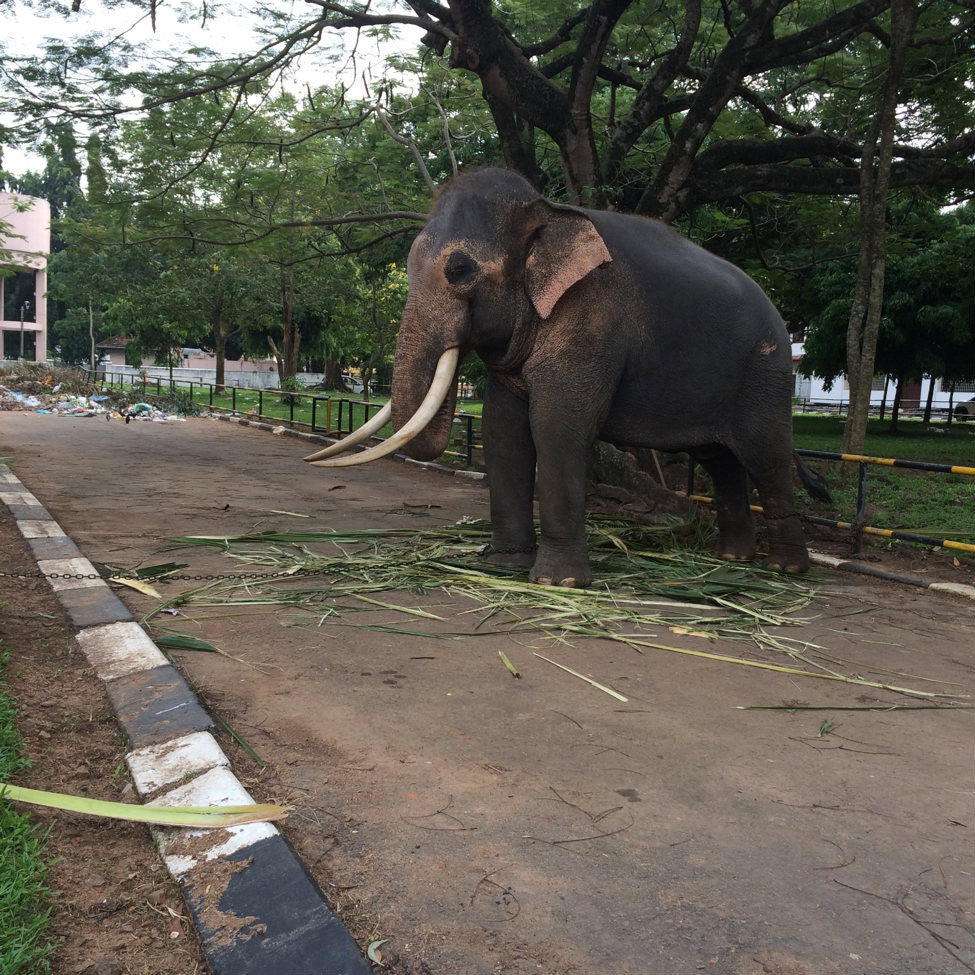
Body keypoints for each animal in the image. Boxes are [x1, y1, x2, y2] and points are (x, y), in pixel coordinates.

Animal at [306, 168, 816, 588]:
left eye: (460, 269)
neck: (546, 209)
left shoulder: (591, 317)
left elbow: (556, 425)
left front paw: (558, 583)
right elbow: (502, 430)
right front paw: (505, 565)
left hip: (767, 375)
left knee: (765, 455)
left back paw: (783, 568)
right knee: (720, 460)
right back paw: (732, 559)